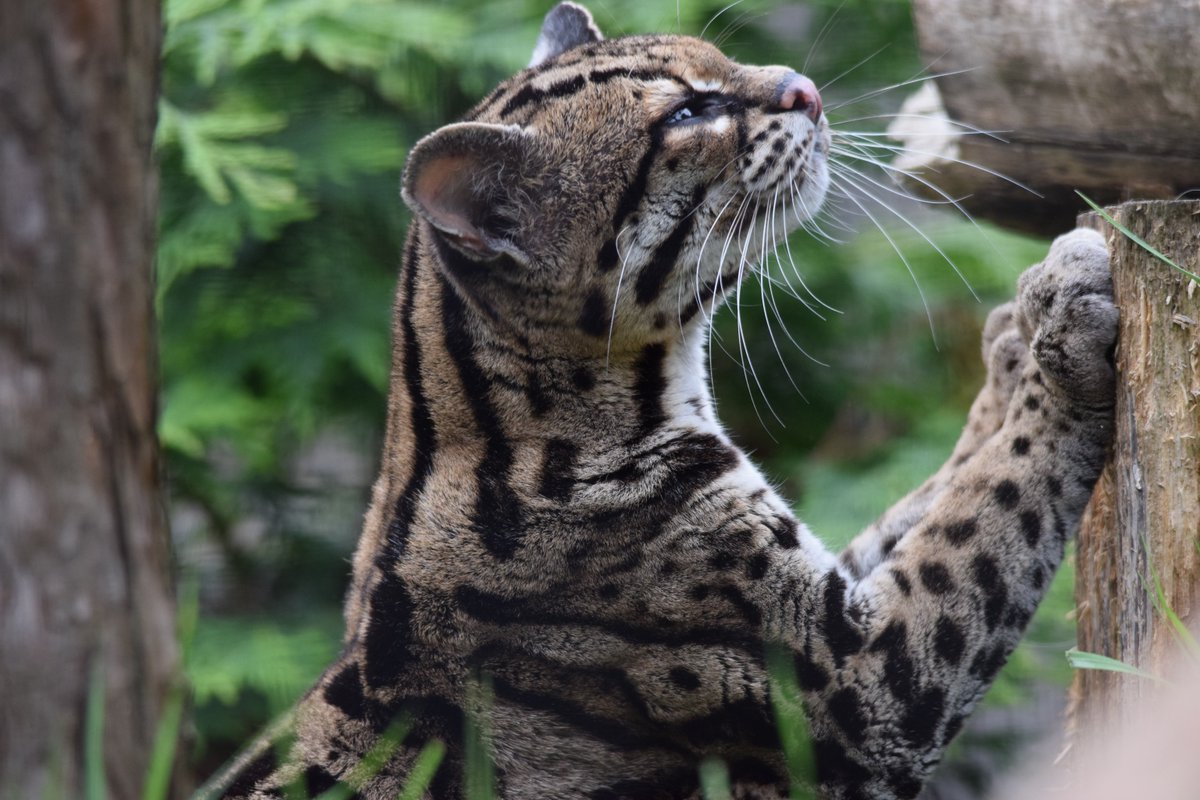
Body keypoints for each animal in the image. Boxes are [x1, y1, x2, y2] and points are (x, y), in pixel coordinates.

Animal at [206, 4, 1118, 799]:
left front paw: (1016, 341)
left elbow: (944, 492)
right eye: (688, 111)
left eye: (721, 62)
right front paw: (1061, 347)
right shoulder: (850, 689)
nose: (805, 88)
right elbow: (994, 511)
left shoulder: (827, 578)